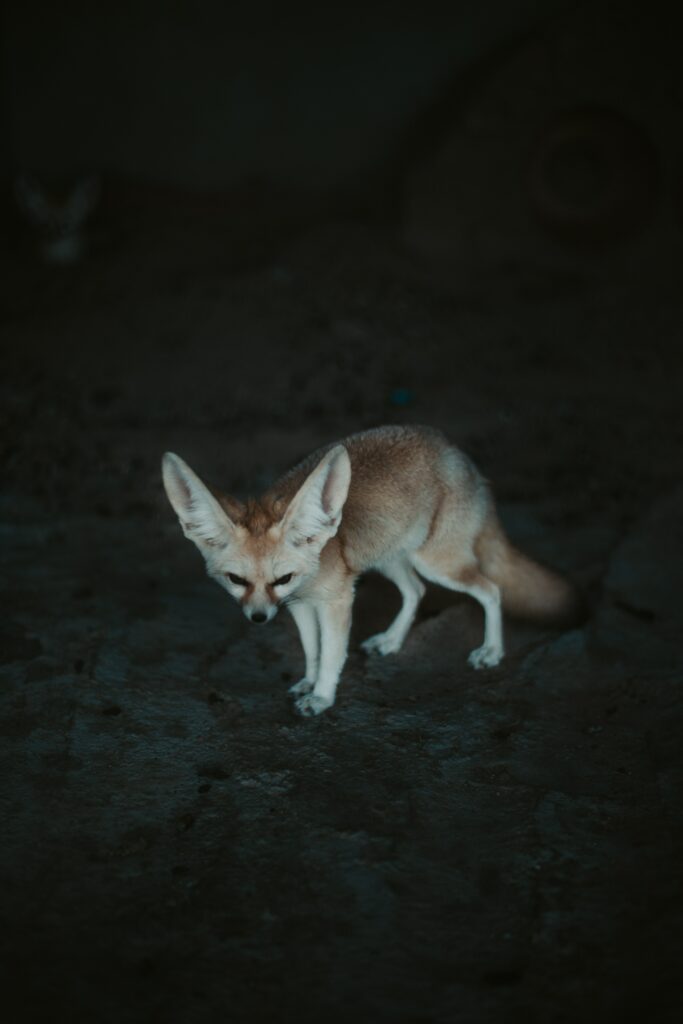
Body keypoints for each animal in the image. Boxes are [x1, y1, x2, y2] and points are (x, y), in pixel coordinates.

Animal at [162, 425, 581, 716]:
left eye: (282, 578)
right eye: (237, 580)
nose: (258, 618)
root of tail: (458, 455)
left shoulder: (336, 601)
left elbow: (332, 653)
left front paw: (322, 696)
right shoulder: (300, 605)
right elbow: (312, 650)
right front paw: (309, 682)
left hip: (437, 563)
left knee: (491, 590)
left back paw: (491, 650)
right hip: (392, 559)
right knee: (416, 591)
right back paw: (392, 640)